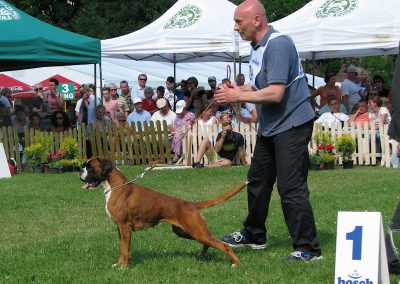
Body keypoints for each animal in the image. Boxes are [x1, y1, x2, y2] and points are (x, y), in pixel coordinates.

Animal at [78, 156, 247, 268]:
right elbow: (123, 248)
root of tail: (191, 204)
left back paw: (236, 264)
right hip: (187, 232)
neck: (114, 186)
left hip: (196, 231)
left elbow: (125, 249)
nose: (79, 170)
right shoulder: (120, 229)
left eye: (90, 167)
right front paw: (119, 264)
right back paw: (202, 255)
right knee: (208, 242)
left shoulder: (124, 226)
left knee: (224, 245)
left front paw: (123, 267)